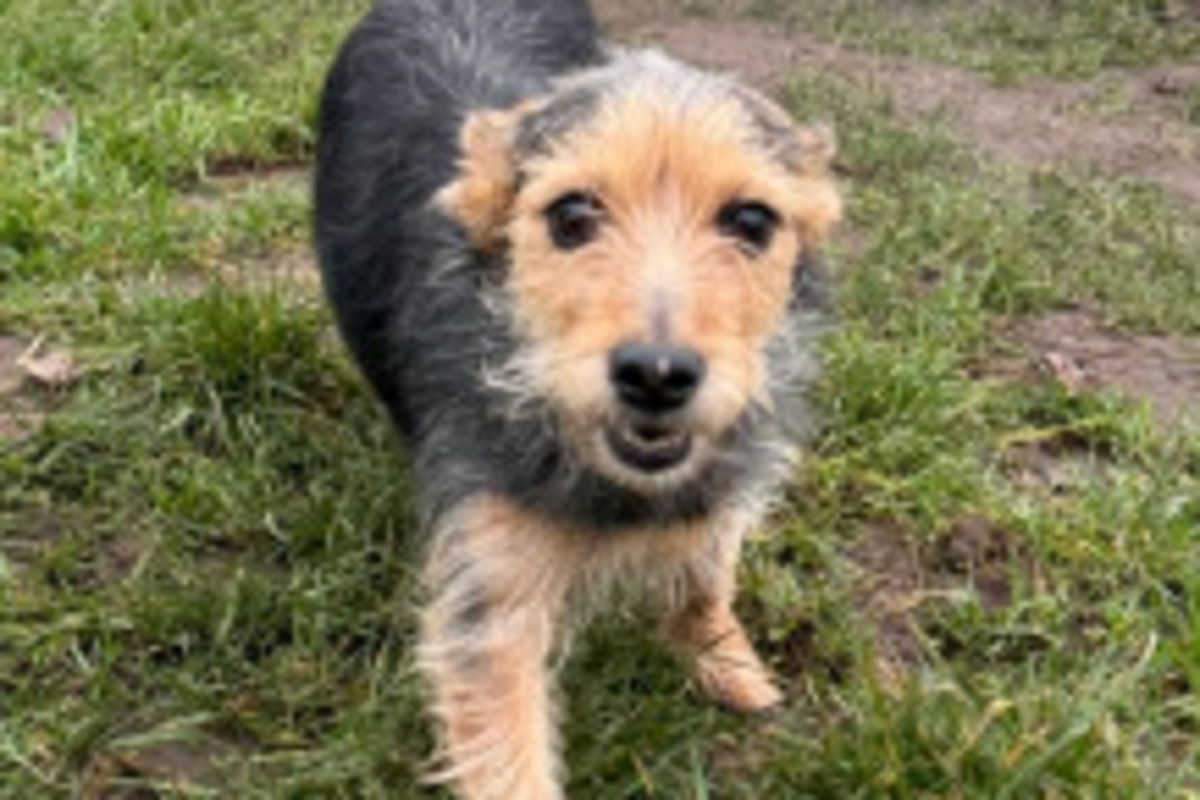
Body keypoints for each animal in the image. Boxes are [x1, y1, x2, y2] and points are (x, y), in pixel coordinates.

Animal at [314, 1, 840, 797]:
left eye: (751, 221)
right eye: (570, 216)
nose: (656, 373)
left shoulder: (719, 489)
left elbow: (706, 575)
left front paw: (724, 659)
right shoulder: (491, 586)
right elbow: (508, 752)